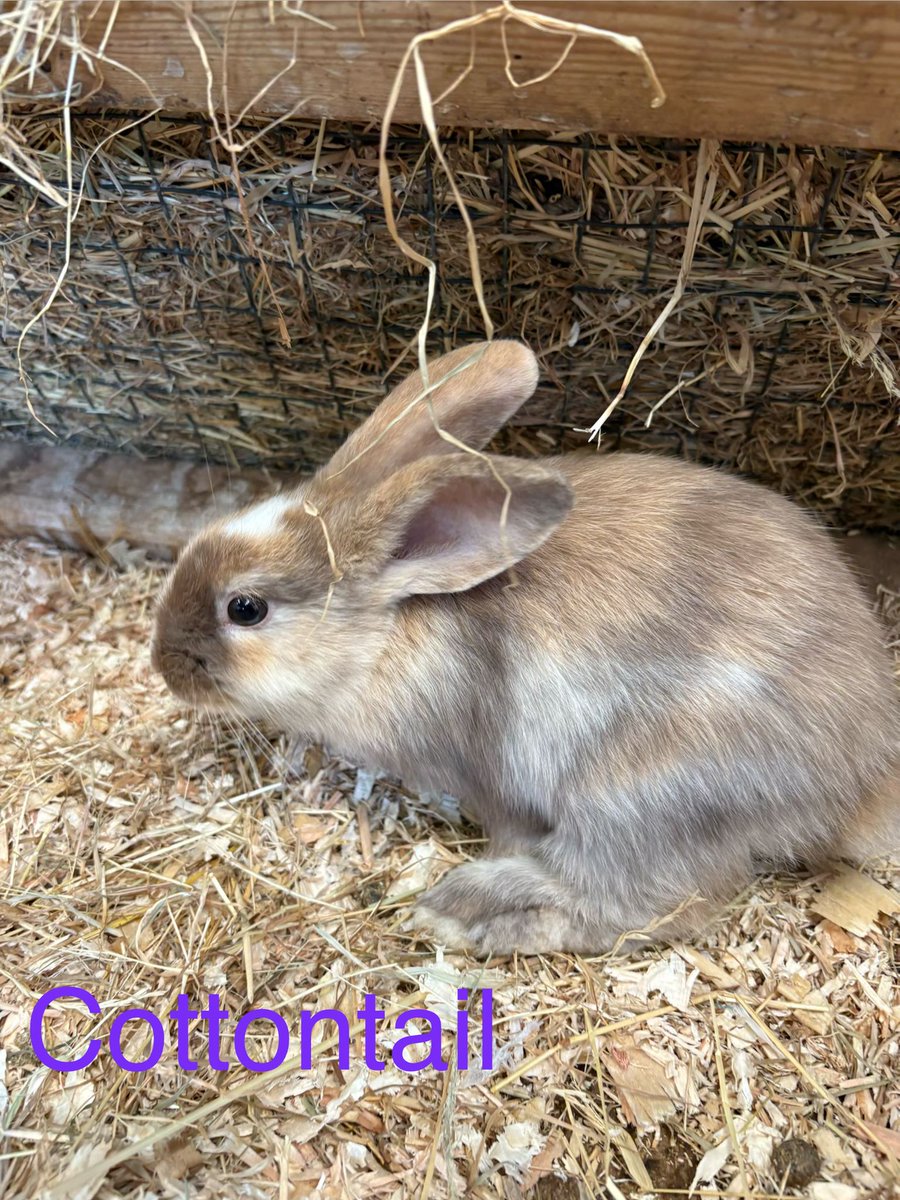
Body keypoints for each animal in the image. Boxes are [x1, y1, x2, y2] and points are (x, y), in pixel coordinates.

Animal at [152, 340, 900, 956]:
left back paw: (464, 912)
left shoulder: (489, 779)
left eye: (245, 608)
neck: (388, 631)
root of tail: (859, 781)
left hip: (640, 797)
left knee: (646, 904)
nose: (163, 663)